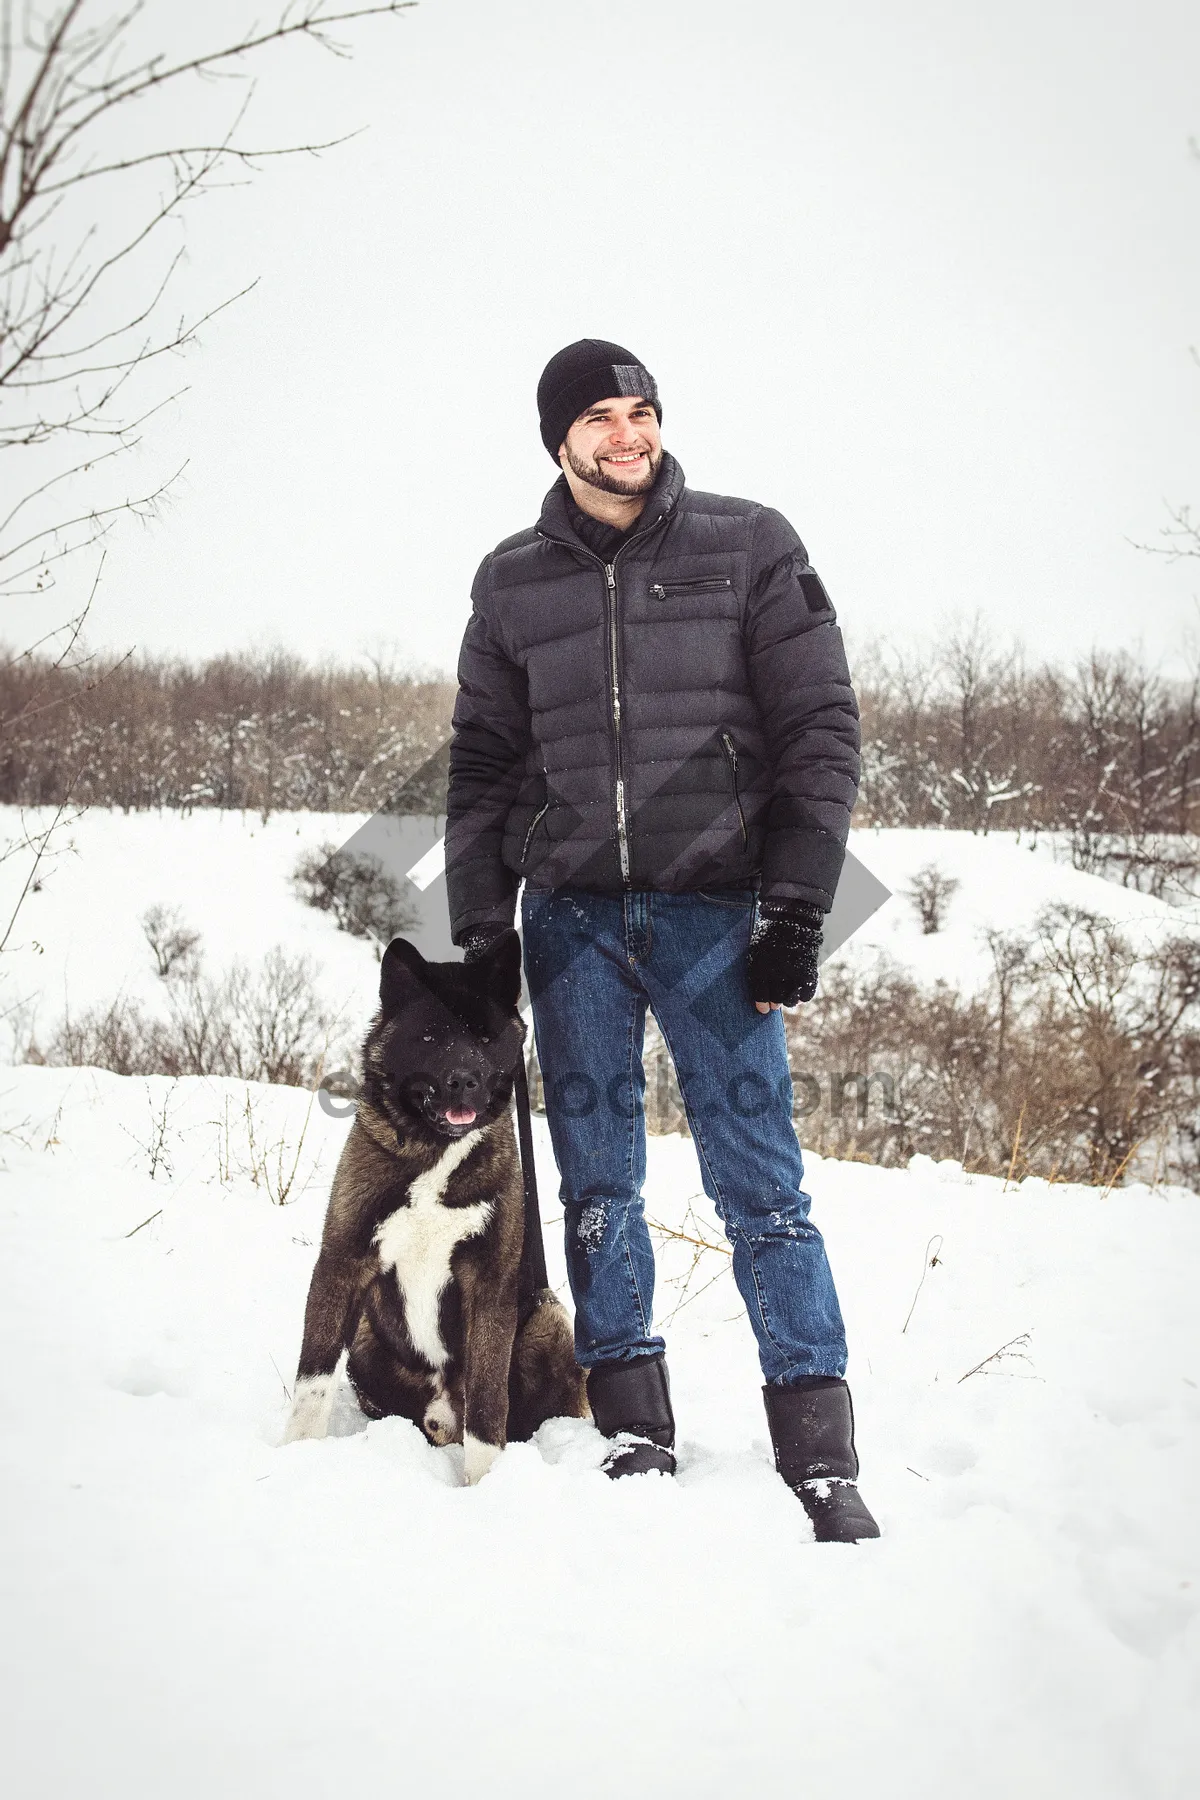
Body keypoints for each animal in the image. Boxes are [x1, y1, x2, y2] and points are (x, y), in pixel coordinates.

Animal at [282, 928, 582, 1476]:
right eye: (430, 1037)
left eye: (484, 1038)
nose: (463, 1080)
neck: (434, 1152)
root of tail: (442, 1411)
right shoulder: (342, 1262)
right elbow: (312, 1382)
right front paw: (295, 1455)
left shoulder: (489, 1287)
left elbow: (487, 1405)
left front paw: (485, 1484)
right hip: (365, 1338)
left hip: (547, 1317)